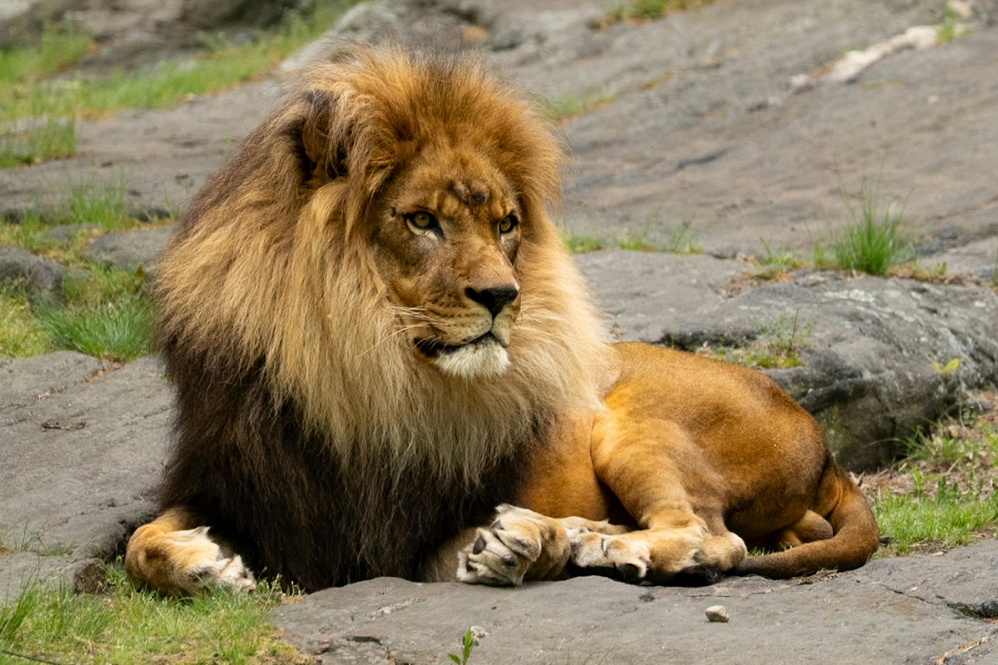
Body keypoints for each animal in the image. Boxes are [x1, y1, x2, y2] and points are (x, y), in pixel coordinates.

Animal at [124, 46, 878, 596]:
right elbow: (139, 543)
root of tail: (823, 442)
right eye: (422, 220)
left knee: (715, 536)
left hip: (636, 423)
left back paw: (608, 543)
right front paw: (203, 564)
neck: (355, 373)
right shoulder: (245, 487)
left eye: (506, 224)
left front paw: (537, 542)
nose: (502, 294)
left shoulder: (405, 536)